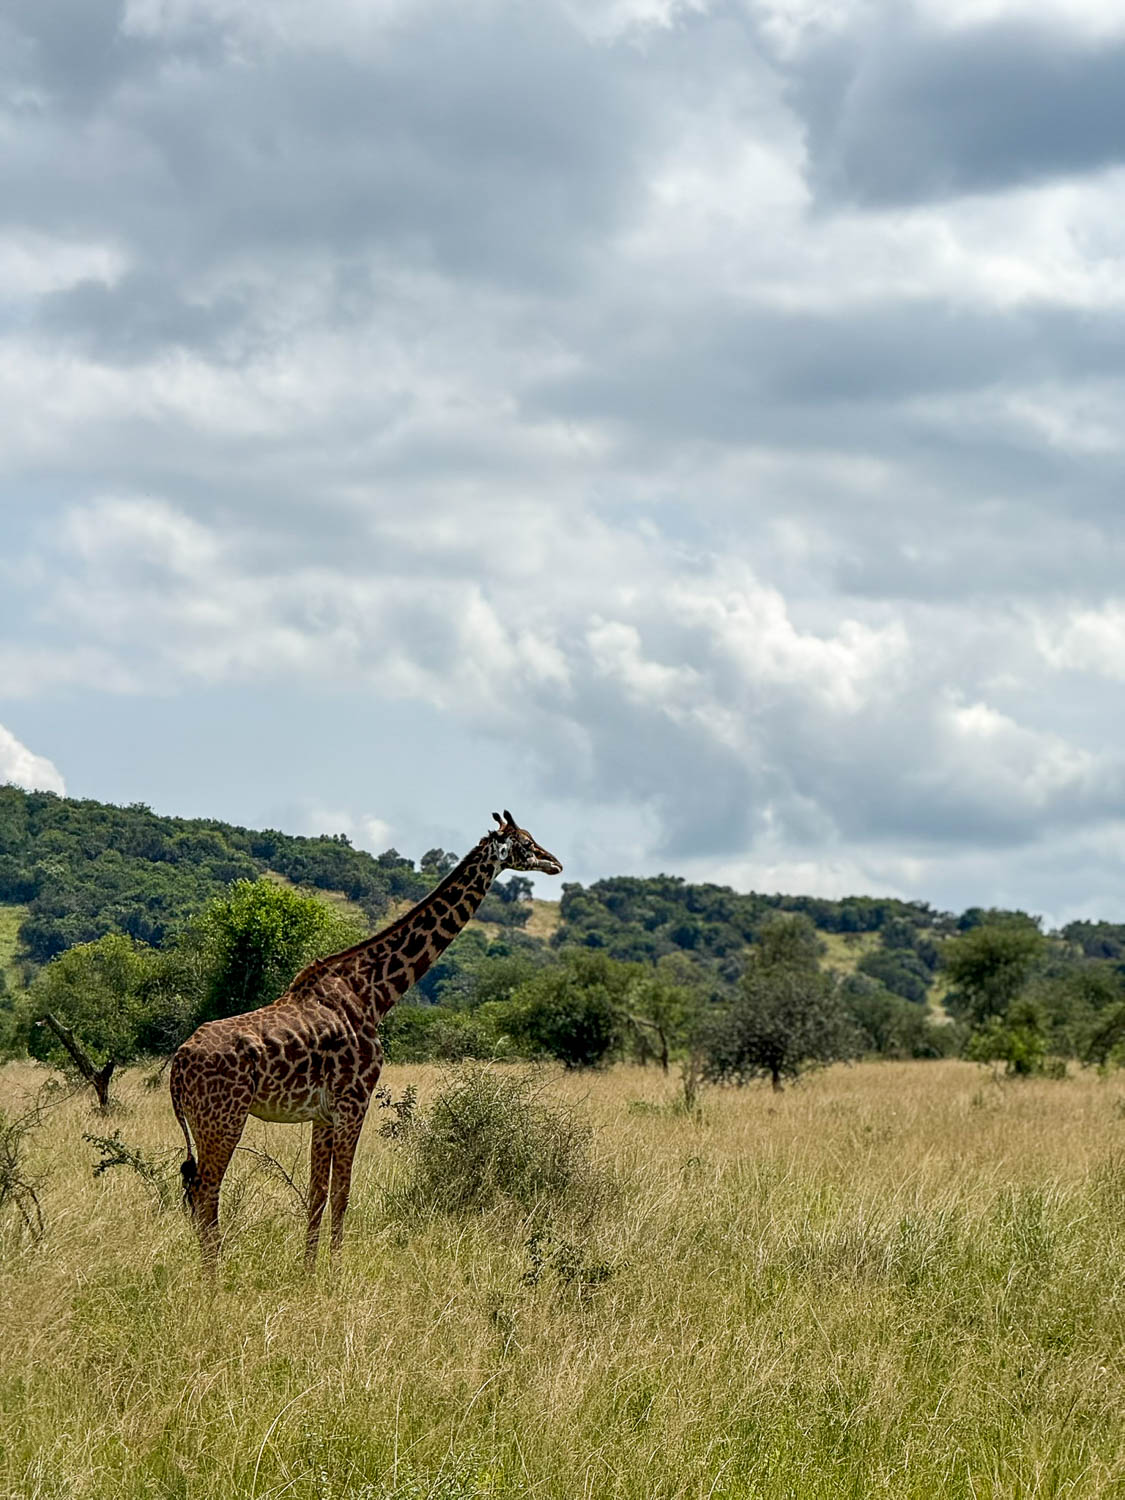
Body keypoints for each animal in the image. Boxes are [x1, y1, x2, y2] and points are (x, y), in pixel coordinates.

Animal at [170, 811, 562, 1274]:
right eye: (526, 843)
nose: (555, 863)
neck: (373, 993)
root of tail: (179, 1061)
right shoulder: (354, 1101)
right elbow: (342, 1192)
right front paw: (336, 1272)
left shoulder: (322, 1114)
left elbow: (318, 1194)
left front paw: (309, 1269)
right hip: (224, 1118)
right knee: (205, 1191)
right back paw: (213, 1276)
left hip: (203, 1121)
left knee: (195, 1189)